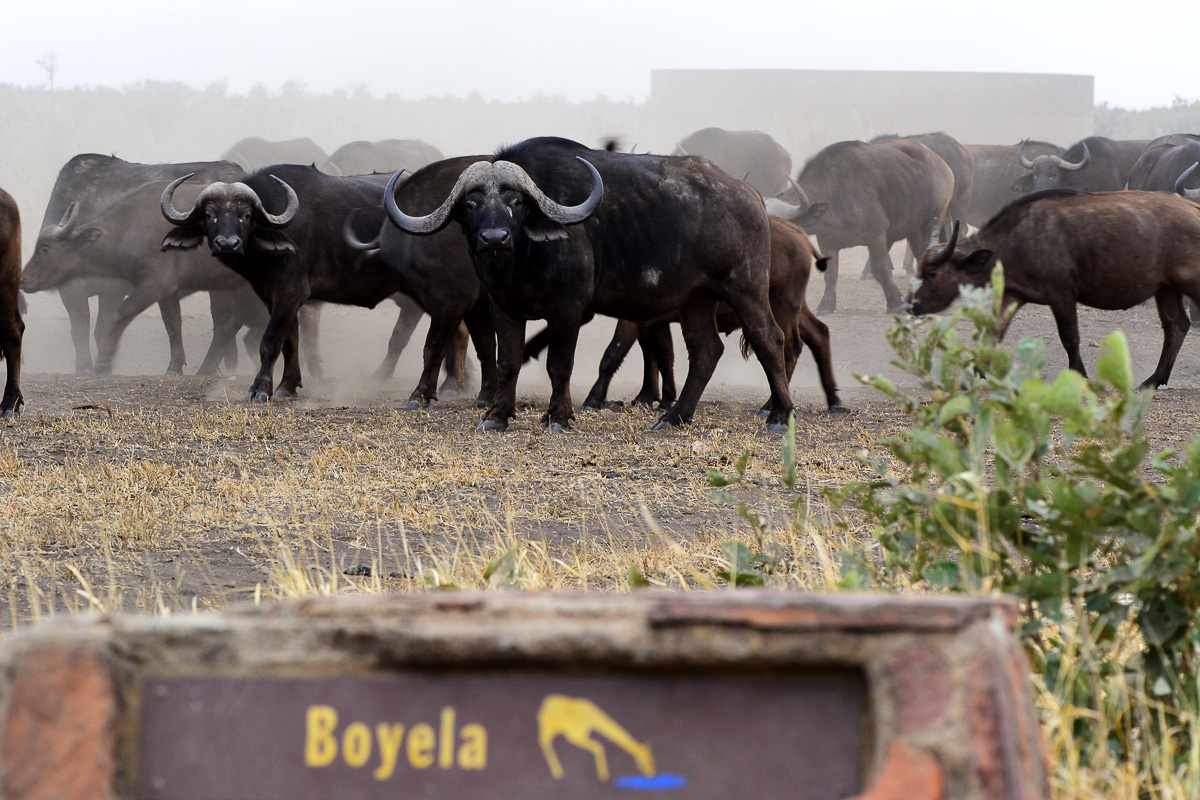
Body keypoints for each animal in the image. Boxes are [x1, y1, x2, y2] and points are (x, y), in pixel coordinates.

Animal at [385, 136, 795, 432]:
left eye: (515, 201)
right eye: (470, 204)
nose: (494, 237)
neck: (523, 259)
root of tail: (750, 195)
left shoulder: (568, 309)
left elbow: (559, 363)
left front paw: (558, 417)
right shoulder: (503, 307)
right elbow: (508, 361)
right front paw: (497, 416)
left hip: (745, 287)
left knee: (769, 339)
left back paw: (779, 415)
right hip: (697, 299)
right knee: (706, 351)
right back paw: (673, 418)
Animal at [766, 139, 954, 314]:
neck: (834, 193)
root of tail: (943, 166)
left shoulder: (876, 235)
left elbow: (881, 269)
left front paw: (895, 303)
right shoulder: (827, 241)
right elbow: (830, 274)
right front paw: (826, 305)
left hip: (933, 220)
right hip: (913, 229)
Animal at [913, 190, 1200, 389]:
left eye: (933, 274)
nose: (912, 305)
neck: (1017, 240)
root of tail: (1193, 208)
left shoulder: (1061, 295)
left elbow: (1070, 337)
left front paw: (1079, 374)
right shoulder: (1012, 295)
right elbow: (994, 332)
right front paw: (975, 373)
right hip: (1166, 289)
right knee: (1176, 326)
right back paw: (1154, 379)